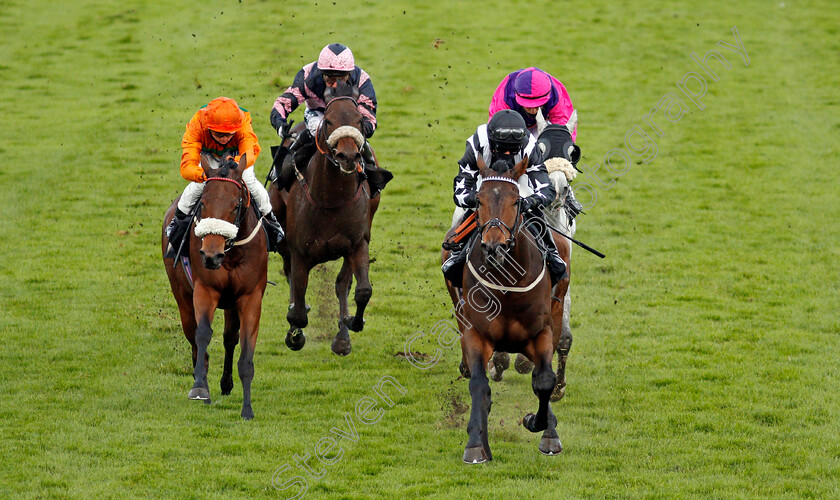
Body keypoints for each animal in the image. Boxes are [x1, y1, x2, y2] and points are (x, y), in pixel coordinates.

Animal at [162, 154, 268, 420]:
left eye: (235, 205)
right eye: (203, 204)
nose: (211, 255)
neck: (230, 254)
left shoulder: (250, 298)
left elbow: (246, 352)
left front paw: (247, 409)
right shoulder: (205, 290)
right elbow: (202, 334)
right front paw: (199, 387)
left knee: (230, 338)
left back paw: (225, 384)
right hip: (182, 297)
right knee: (193, 337)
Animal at [270, 82, 380, 356]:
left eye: (360, 120)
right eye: (328, 120)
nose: (348, 156)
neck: (331, 200)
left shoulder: (357, 243)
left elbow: (361, 290)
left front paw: (352, 323)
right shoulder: (299, 251)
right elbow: (298, 309)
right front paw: (295, 335)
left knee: (342, 284)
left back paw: (342, 337)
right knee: (290, 277)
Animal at [440, 154, 564, 462]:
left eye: (516, 200)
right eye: (479, 200)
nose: (494, 246)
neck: (507, 284)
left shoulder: (541, 333)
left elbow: (544, 380)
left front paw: (540, 426)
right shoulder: (476, 334)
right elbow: (479, 385)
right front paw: (476, 444)